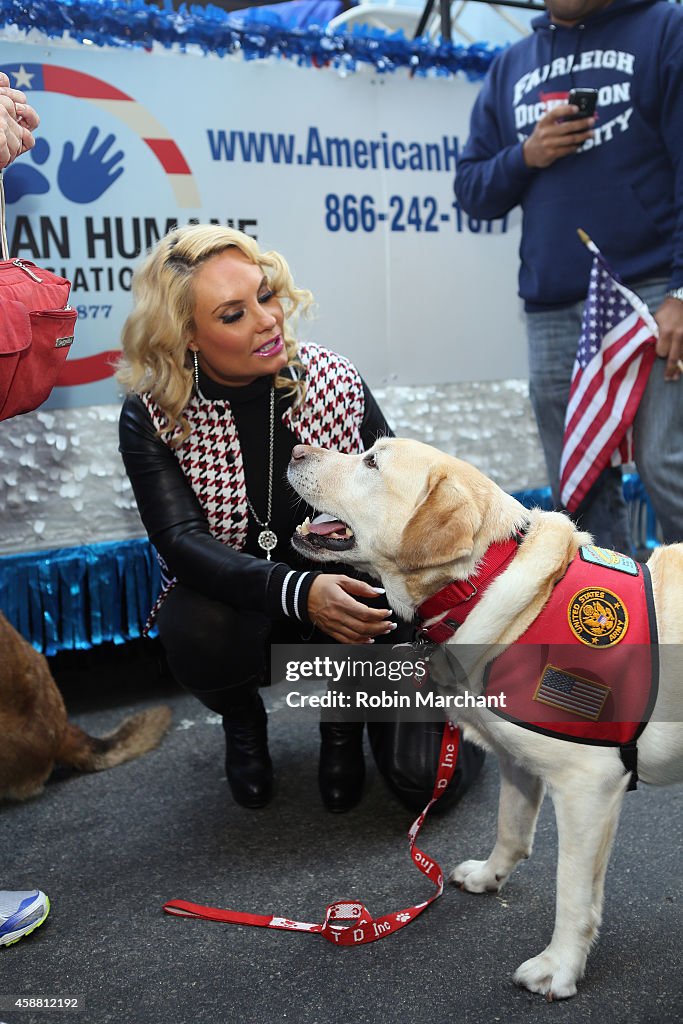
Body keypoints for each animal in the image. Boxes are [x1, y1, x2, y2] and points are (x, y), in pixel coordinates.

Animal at [288, 438, 683, 999]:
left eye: (372, 461)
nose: (296, 448)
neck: (481, 583)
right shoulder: (517, 762)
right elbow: (510, 828)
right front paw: (490, 875)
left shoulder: (589, 786)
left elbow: (573, 891)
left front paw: (559, 966)